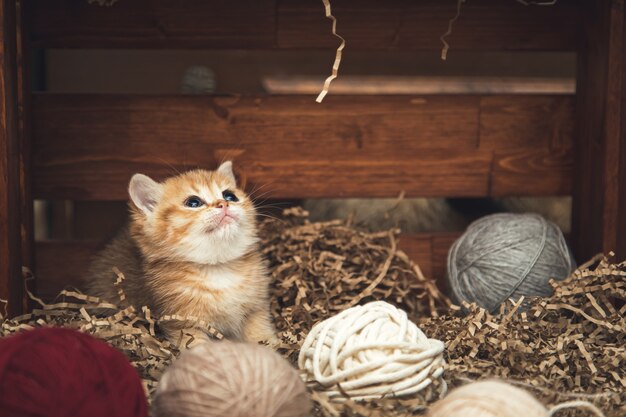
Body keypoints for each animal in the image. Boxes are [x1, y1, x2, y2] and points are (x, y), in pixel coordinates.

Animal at [85, 160, 276, 344]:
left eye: (230, 195)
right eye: (193, 203)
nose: (224, 203)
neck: (218, 268)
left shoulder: (256, 310)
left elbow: (260, 334)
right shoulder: (183, 324)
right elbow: (197, 346)